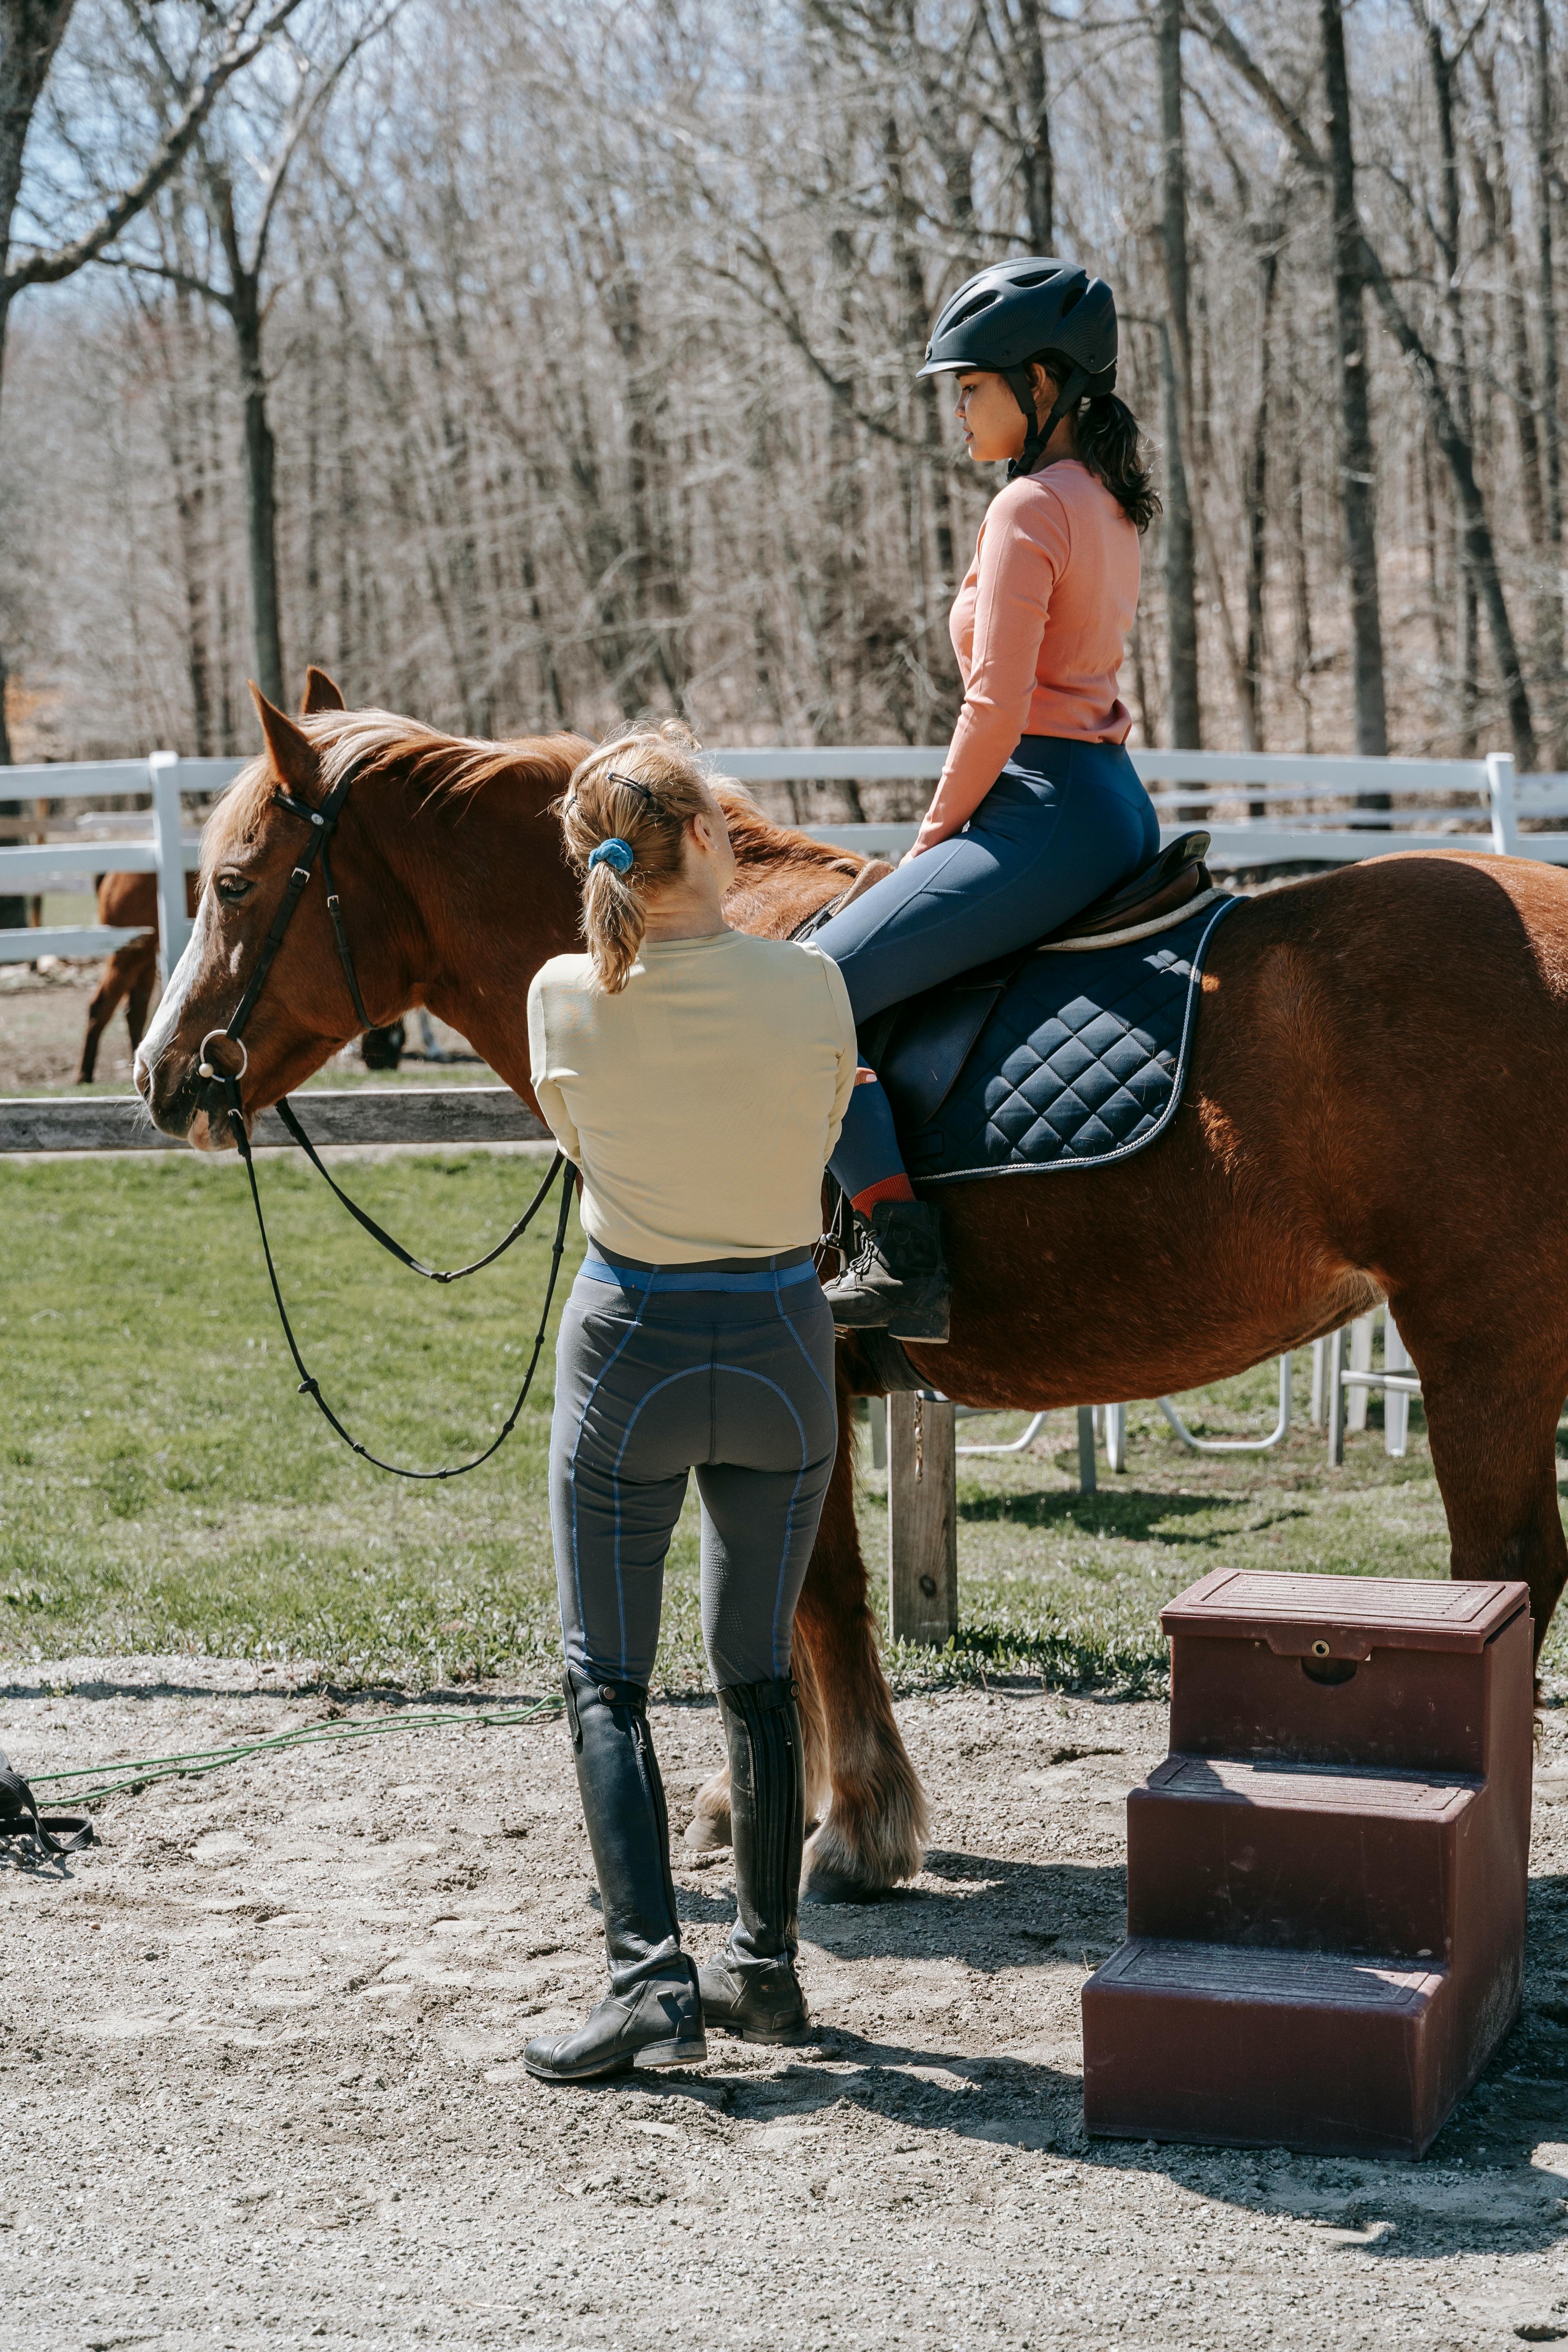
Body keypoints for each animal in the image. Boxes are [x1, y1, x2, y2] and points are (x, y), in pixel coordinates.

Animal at [135, 682, 1568, 1891]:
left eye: (233, 882)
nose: (162, 1075)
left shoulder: (789, 1365)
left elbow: (812, 1595)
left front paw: (854, 1824)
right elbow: (777, 1601)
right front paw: (765, 1801)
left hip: (1480, 1339)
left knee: (1506, 1576)